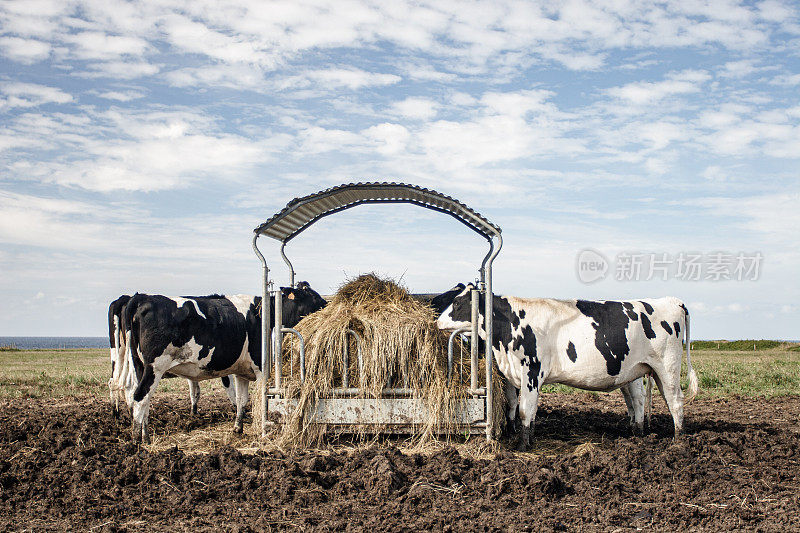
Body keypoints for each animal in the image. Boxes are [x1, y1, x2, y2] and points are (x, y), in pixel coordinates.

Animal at [124, 284, 324, 442]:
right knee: (140, 397)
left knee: (143, 400)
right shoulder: (261, 369)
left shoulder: (241, 371)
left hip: (139, 366)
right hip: (155, 367)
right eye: (313, 295)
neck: (268, 314)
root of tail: (143, 297)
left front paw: (238, 428)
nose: (326, 304)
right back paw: (136, 440)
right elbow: (261, 400)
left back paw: (145, 436)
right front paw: (262, 430)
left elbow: (241, 400)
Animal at [434, 284, 696, 446]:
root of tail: (672, 301)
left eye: (457, 304)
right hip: (639, 370)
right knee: (640, 401)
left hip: (668, 367)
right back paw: (638, 433)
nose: (436, 322)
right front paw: (523, 437)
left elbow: (524, 410)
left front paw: (523, 445)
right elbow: (519, 408)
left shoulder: (532, 371)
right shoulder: (515, 375)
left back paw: (678, 439)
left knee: (675, 401)